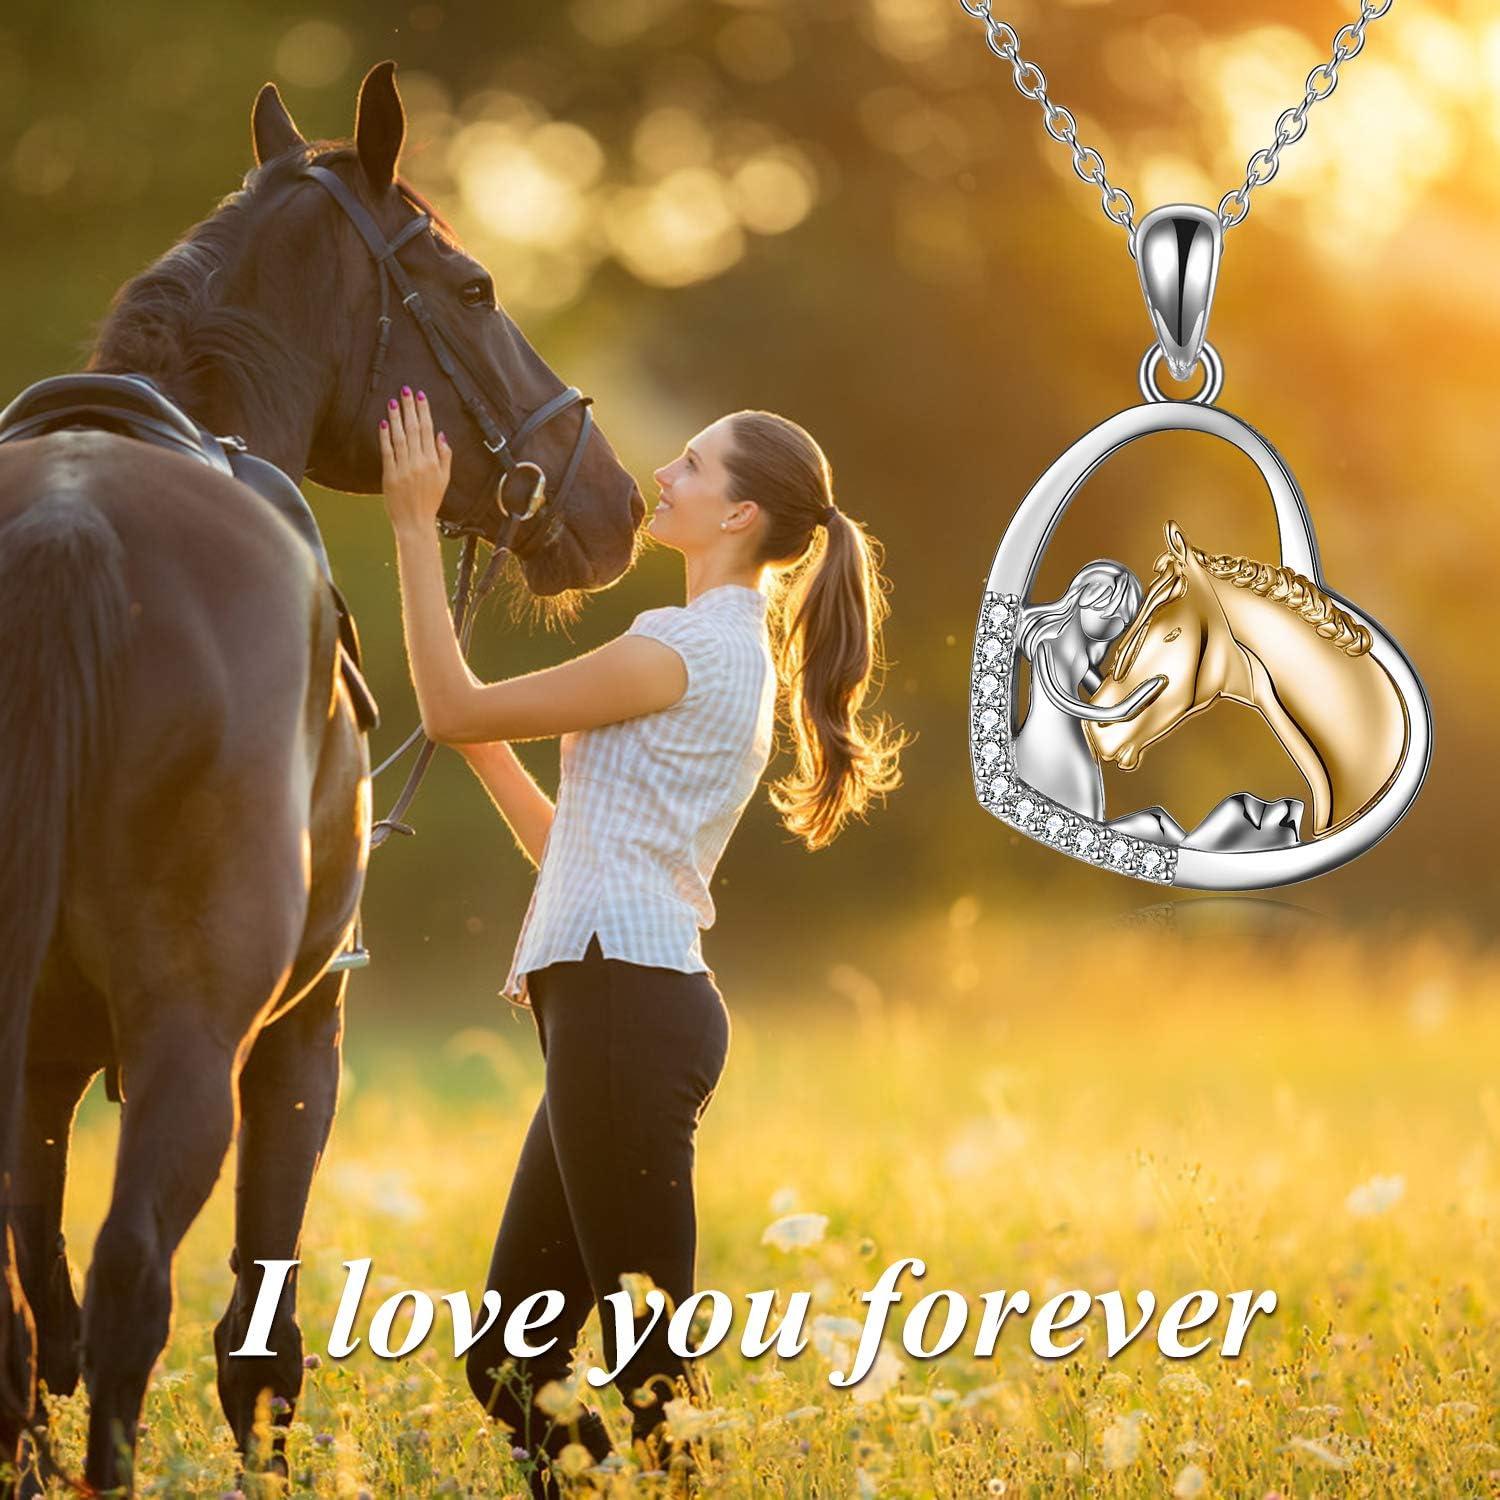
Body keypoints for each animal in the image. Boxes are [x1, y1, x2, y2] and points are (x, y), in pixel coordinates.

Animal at [0, 62, 643, 1496]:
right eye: (473, 288)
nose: (616, 503)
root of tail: (68, 527)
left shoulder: (43, 1069)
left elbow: (34, 1320)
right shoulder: (302, 1040)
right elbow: (258, 1340)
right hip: (197, 1041)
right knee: (135, 1287)